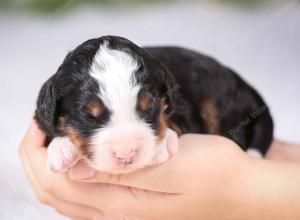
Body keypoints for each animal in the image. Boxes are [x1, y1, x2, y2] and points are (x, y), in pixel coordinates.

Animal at [34, 35, 274, 174]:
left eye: (148, 107)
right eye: (89, 116)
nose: (127, 155)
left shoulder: (183, 108)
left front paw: (163, 143)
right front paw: (61, 149)